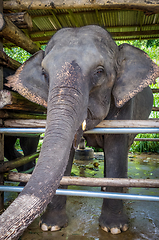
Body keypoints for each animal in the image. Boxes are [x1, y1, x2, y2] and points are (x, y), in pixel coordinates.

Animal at [0, 25, 159, 239]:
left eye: (99, 72)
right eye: (44, 74)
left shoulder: (124, 105)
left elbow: (116, 147)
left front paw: (114, 228)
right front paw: (50, 226)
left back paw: (122, 187)